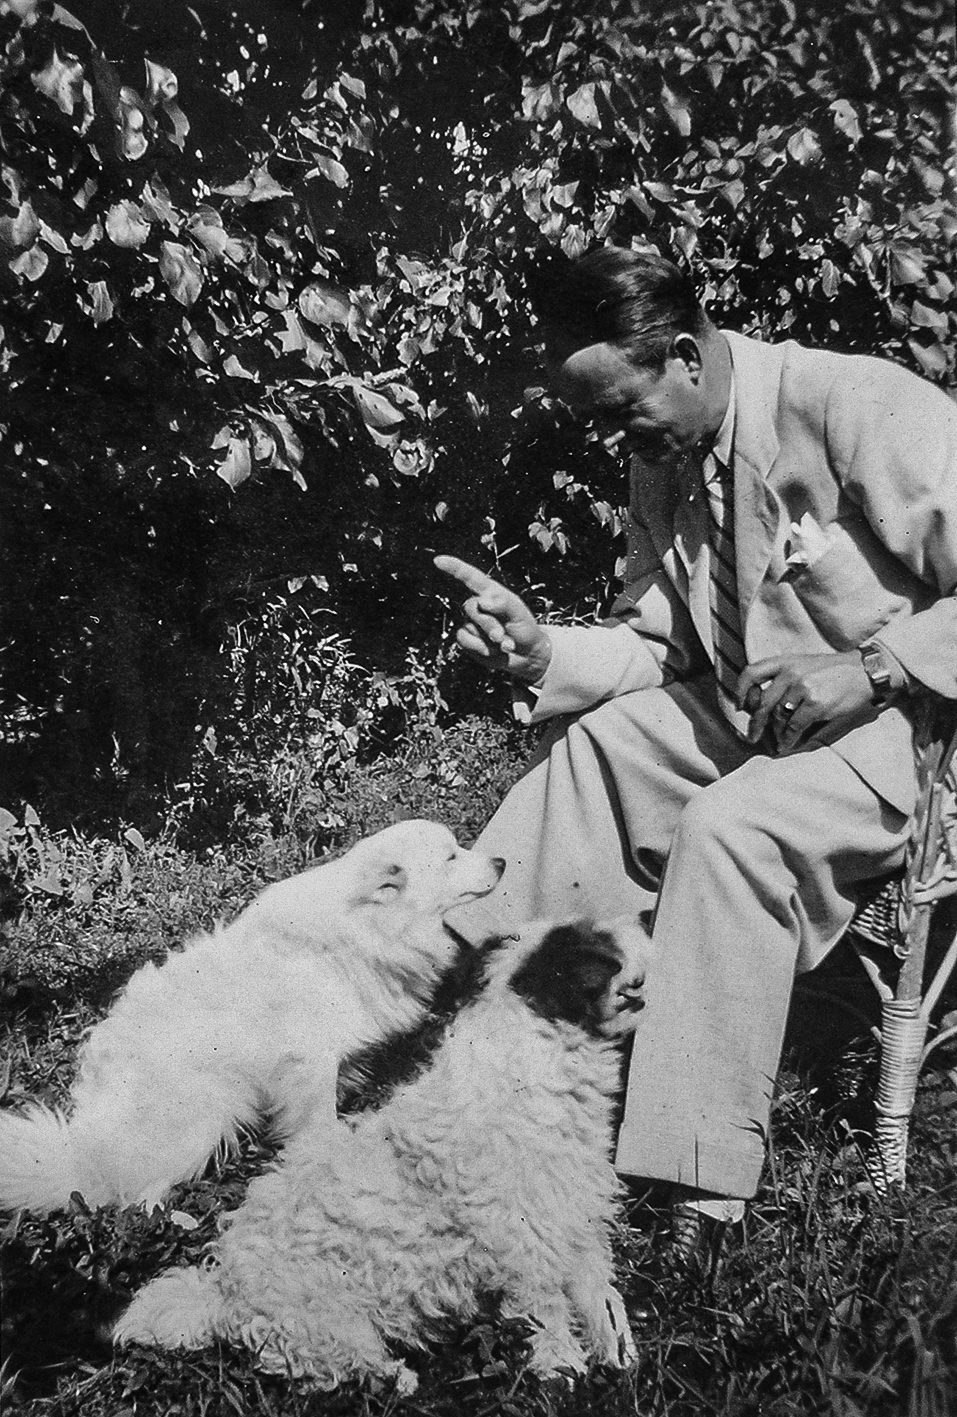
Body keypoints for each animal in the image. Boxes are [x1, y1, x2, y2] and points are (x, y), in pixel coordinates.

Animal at [0, 827, 504, 1212]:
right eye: (452, 856)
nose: (501, 861)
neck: (370, 927)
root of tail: (87, 1149)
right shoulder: (307, 1062)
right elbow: (318, 1121)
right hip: (202, 1115)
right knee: (131, 1193)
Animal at [112, 912, 652, 1388]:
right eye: (597, 949)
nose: (648, 918)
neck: (534, 1077)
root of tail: (223, 1292)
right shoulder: (525, 1247)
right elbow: (547, 1313)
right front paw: (563, 1370)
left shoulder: (579, 1229)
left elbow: (601, 1298)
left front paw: (620, 1357)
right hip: (329, 1328)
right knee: (336, 1367)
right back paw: (400, 1380)